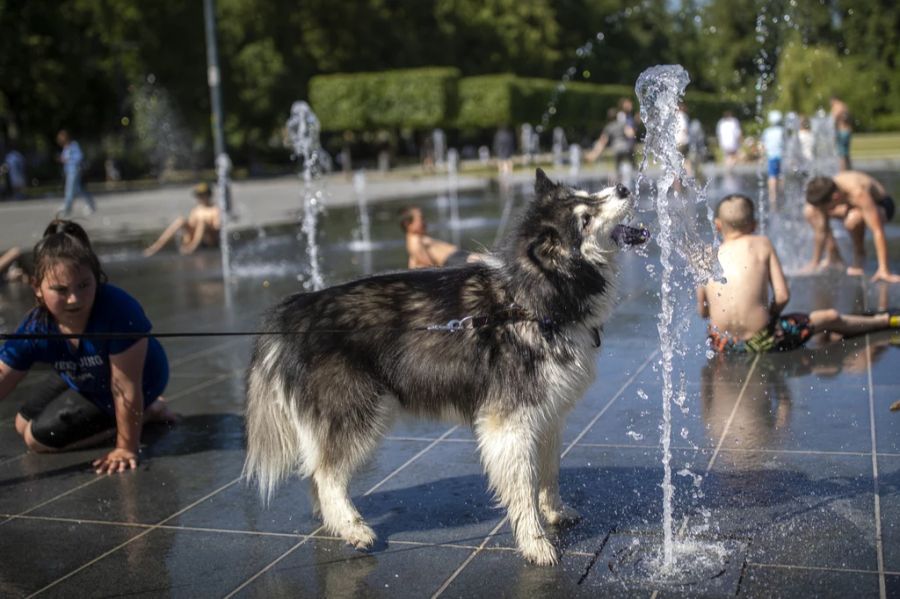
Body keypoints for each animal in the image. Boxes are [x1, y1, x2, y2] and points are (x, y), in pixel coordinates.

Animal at [243, 170, 644, 568]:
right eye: (585, 218)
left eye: (587, 193)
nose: (624, 187)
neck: (533, 302)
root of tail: (296, 309)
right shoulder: (509, 424)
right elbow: (524, 486)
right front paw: (535, 542)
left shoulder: (547, 415)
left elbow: (549, 474)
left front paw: (555, 512)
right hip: (359, 413)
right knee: (326, 476)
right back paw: (353, 528)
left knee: (315, 473)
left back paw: (334, 523)